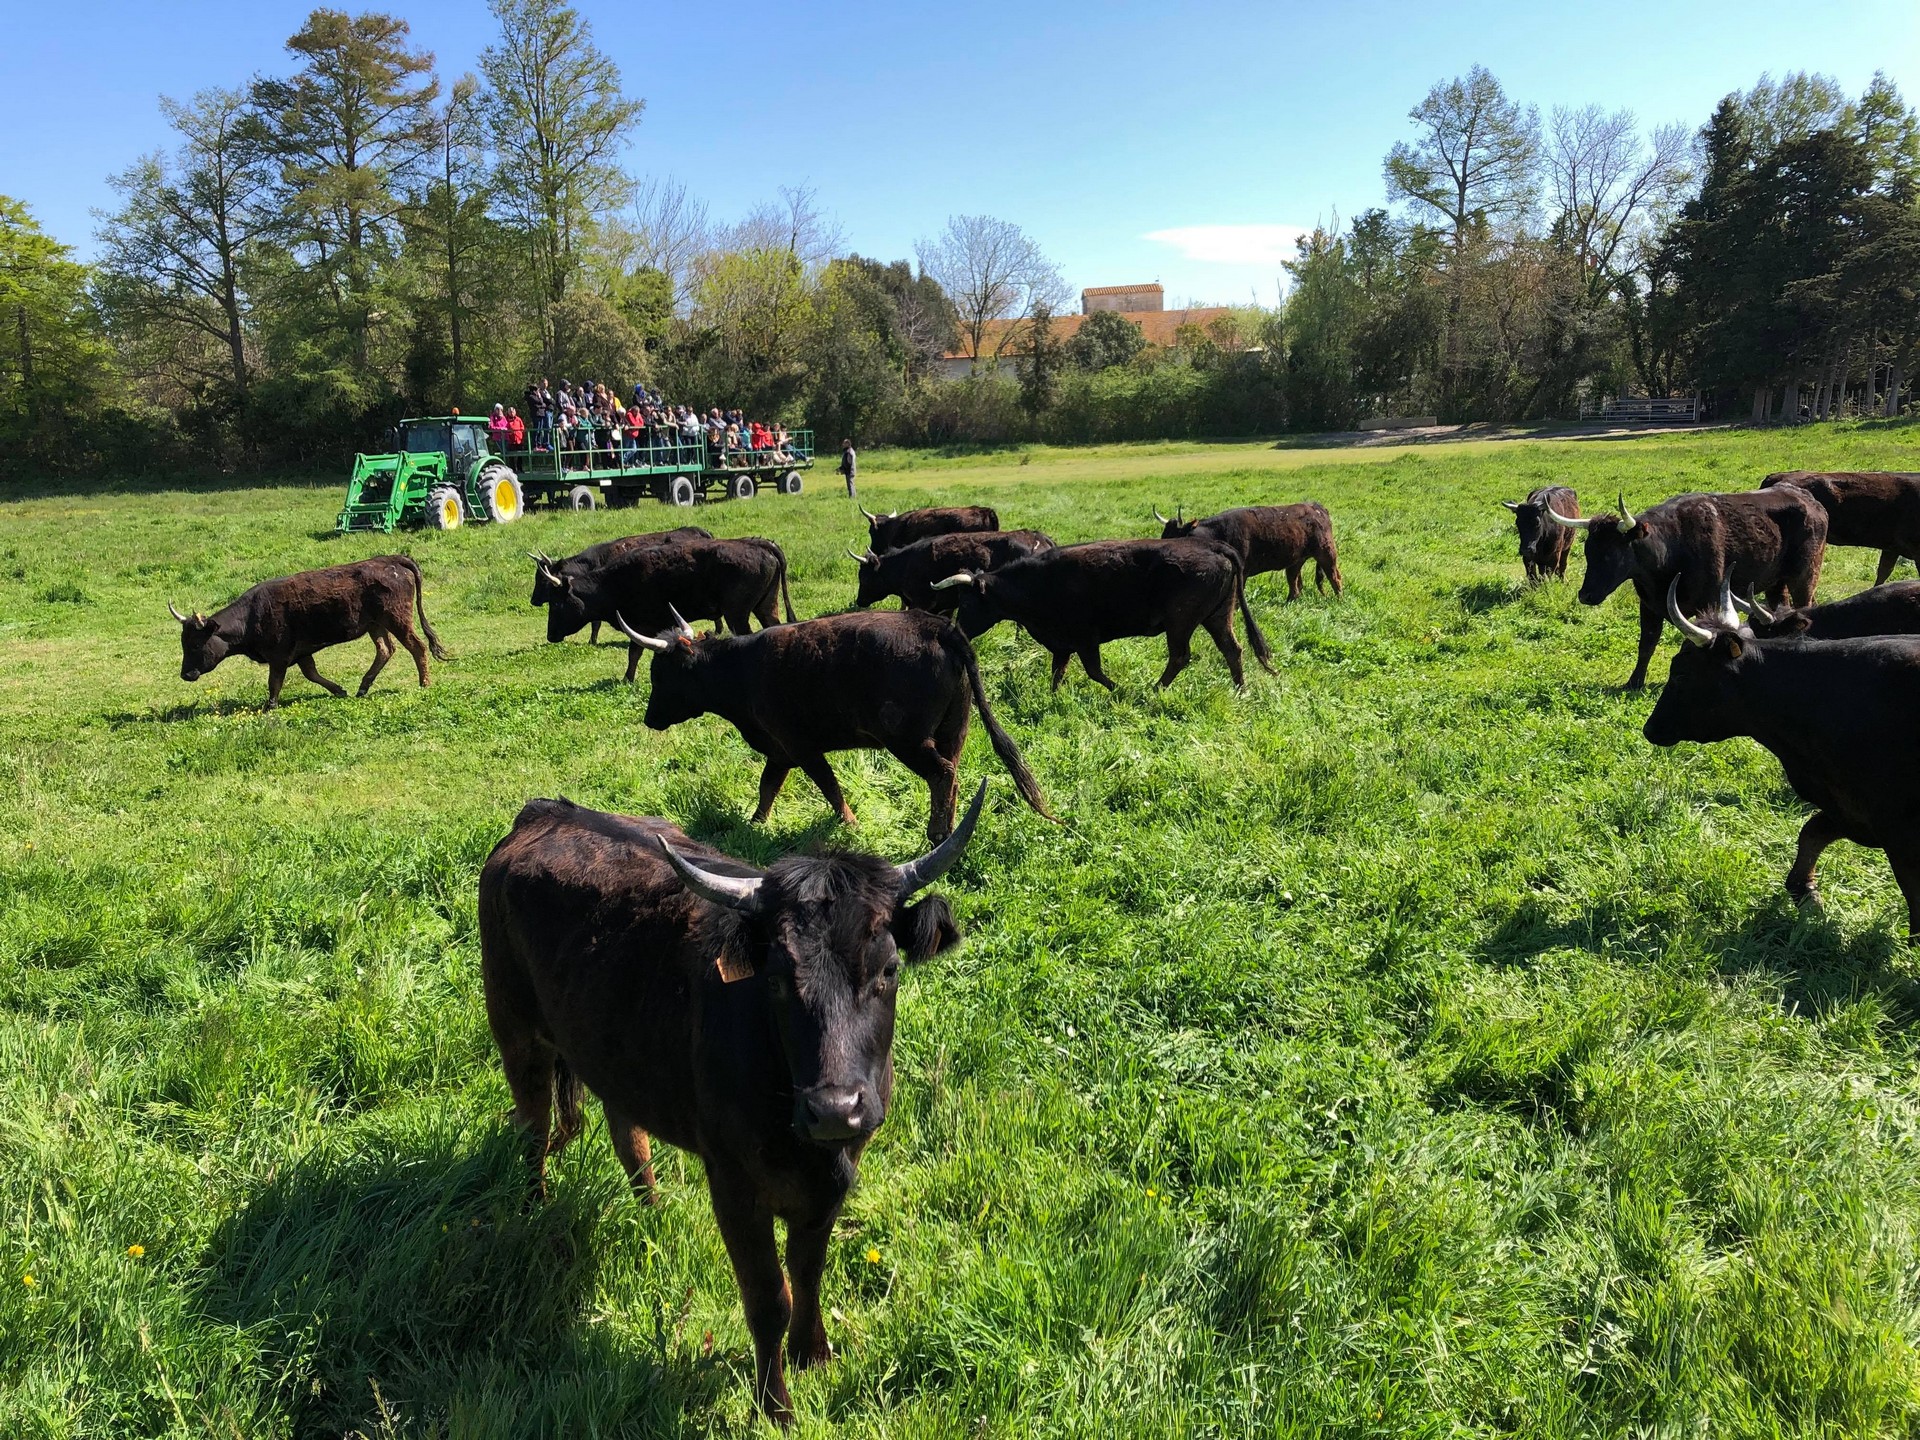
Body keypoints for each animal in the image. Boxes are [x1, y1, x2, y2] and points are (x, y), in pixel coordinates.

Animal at [478, 783, 983, 1428]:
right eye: (774, 979)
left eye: (888, 968)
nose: (835, 1109)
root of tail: (545, 812)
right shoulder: (734, 1183)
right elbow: (769, 1297)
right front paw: (776, 1407)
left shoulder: (835, 1175)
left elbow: (808, 1271)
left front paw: (815, 1356)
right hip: (515, 1032)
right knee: (533, 1130)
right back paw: (535, 1213)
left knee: (625, 1129)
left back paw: (653, 1210)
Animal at [929, 537, 1274, 691]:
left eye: (967, 603)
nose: (957, 631)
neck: (1038, 583)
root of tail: (1211, 545)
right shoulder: (1062, 643)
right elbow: (1057, 672)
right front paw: (1054, 695)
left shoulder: (1085, 639)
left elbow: (1093, 671)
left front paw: (1117, 689)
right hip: (1217, 616)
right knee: (1232, 649)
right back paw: (1240, 688)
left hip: (1181, 621)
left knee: (1180, 656)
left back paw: (1155, 689)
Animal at [1551, 487, 1820, 691]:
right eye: (1588, 552)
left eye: (1610, 554)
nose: (1585, 595)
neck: (1672, 551)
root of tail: (1808, 498)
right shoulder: (1649, 606)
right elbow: (1646, 643)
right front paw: (1634, 682)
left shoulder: (1710, 602)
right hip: (1777, 583)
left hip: (1805, 577)